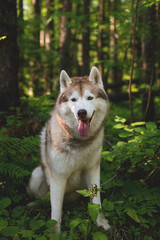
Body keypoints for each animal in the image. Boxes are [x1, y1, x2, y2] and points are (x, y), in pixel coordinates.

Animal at [27, 66, 110, 232]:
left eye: (90, 98)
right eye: (73, 100)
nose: (81, 112)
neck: (79, 142)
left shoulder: (93, 170)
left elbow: (97, 202)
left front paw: (101, 222)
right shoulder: (58, 177)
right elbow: (56, 212)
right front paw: (55, 233)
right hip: (36, 174)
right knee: (42, 198)